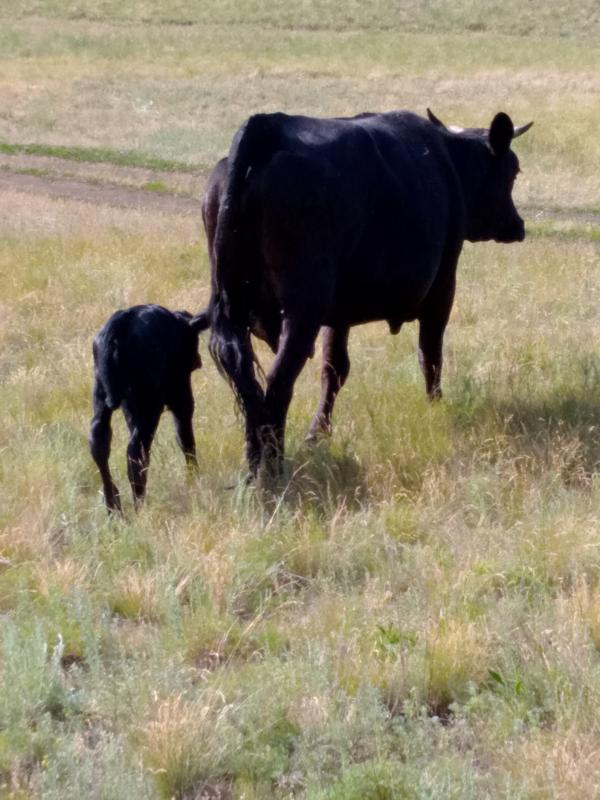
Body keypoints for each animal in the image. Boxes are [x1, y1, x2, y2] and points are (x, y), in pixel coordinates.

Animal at [88, 306, 211, 512]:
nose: (198, 360)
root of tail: (122, 322)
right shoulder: (180, 390)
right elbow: (185, 436)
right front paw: (194, 478)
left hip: (101, 395)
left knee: (99, 441)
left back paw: (113, 505)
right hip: (150, 405)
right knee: (137, 451)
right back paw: (139, 504)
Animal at [207, 109, 536, 478]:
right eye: (513, 171)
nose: (518, 225)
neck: (449, 160)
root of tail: (269, 126)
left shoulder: (338, 312)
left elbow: (334, 369)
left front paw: (317, 434)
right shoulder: (443, 285)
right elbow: (430, 354)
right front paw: (436, 408)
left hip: (234, 308)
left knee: (245, 378)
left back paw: (254, 466)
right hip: (303, 309)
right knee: (278, 382)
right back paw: (275, 466)